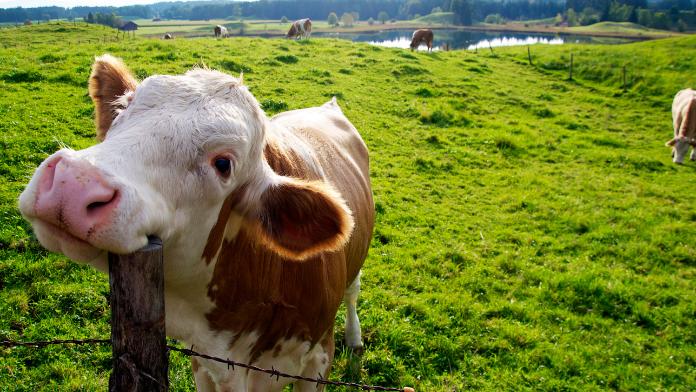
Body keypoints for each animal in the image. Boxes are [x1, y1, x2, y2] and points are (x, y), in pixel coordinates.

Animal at [17, 54, 376, 392]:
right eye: (125, 107)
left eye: (223, 164)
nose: (73, 183)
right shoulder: (203, 364)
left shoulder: (319, 357)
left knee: (353, 291)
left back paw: (355, 338)